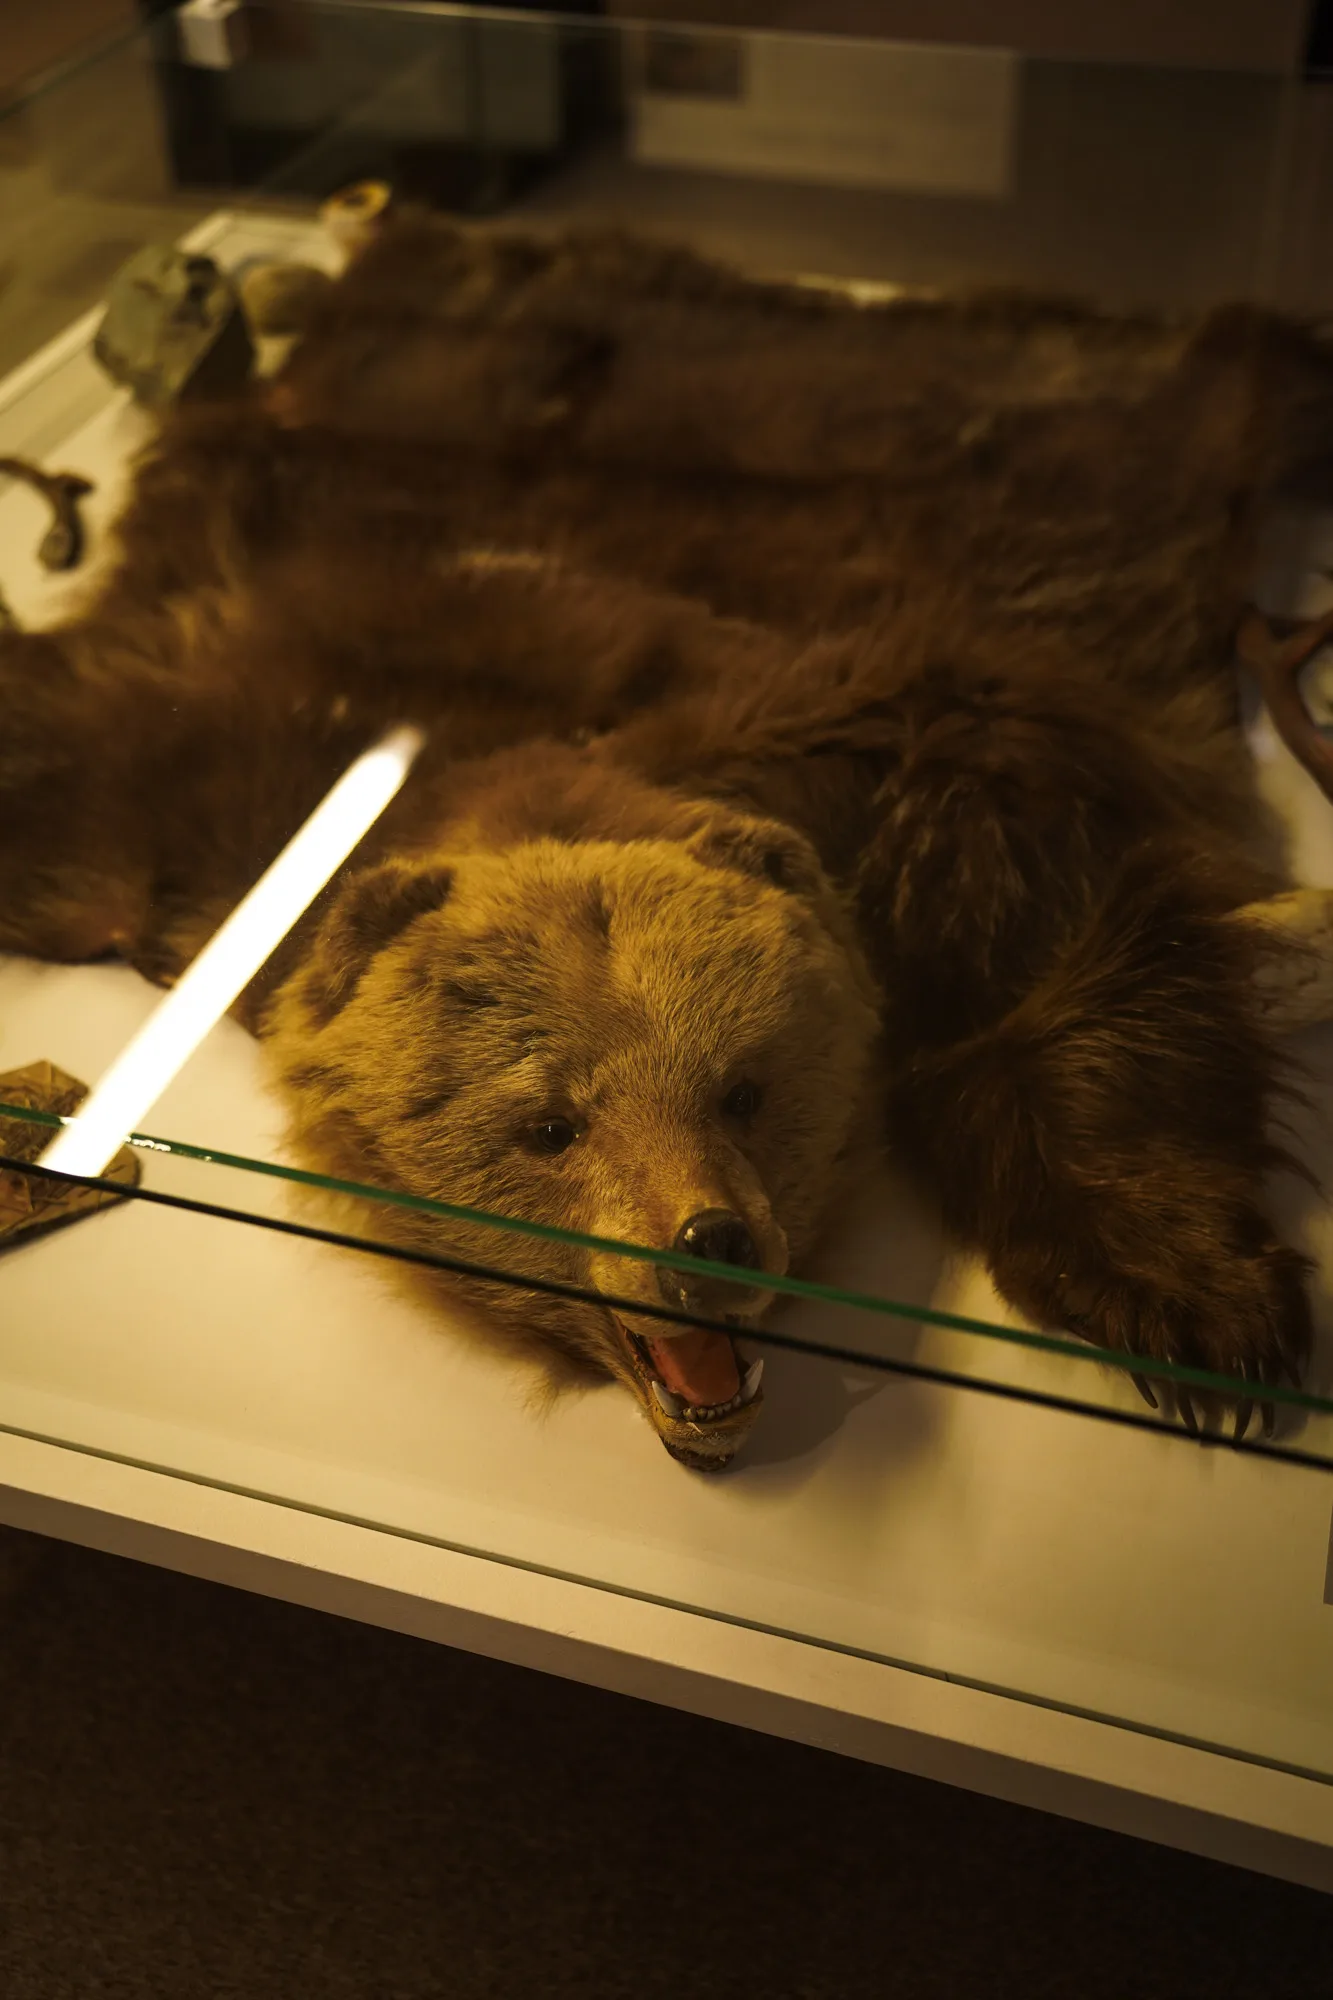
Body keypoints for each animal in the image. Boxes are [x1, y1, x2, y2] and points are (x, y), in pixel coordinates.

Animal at [1, 213, 1330, 1467]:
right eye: (549, 1121)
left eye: (743, 1086)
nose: (708, 1242)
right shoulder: (188, 778)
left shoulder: (845, 699)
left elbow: (1046, 892)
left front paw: (1193, 1298)